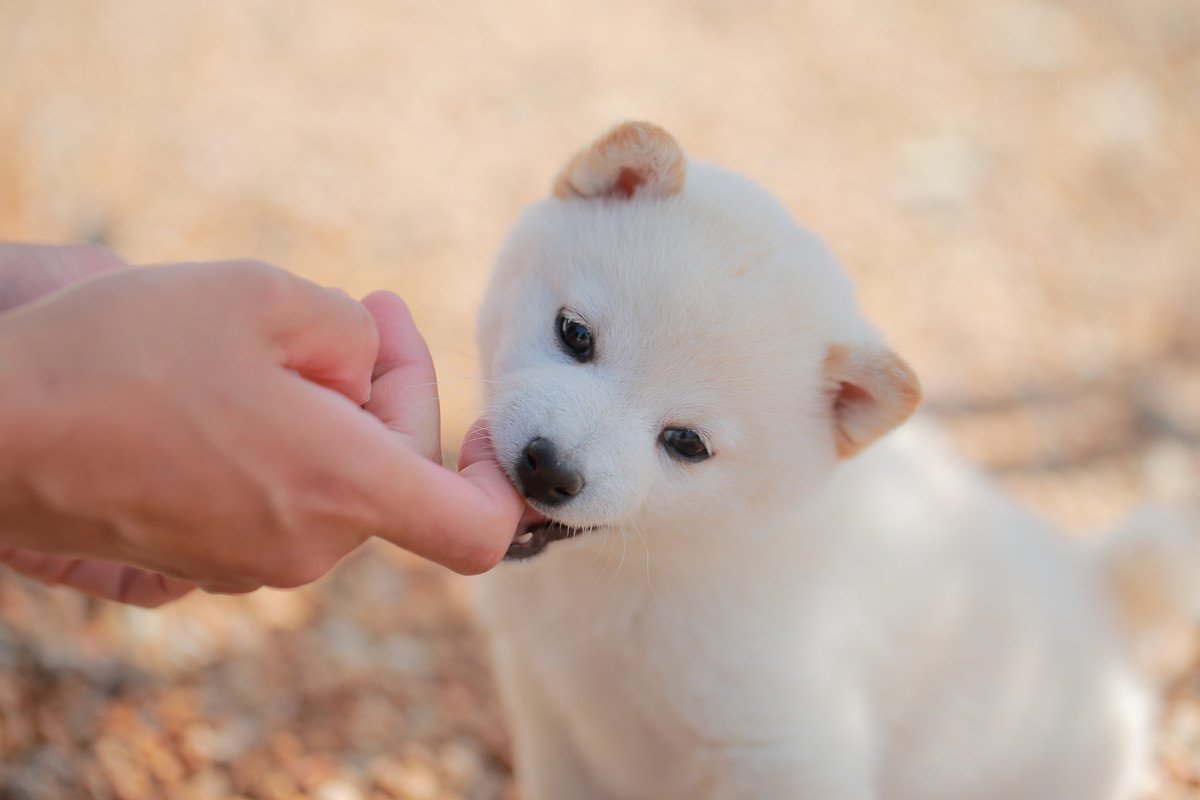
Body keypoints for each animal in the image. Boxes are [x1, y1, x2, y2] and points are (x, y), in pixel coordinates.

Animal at [472, 122, 1195, 796]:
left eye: (686, 443)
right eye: (575, 334)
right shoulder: (547, 706)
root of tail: (1102, 586)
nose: (550, 467)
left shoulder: (783, 752)